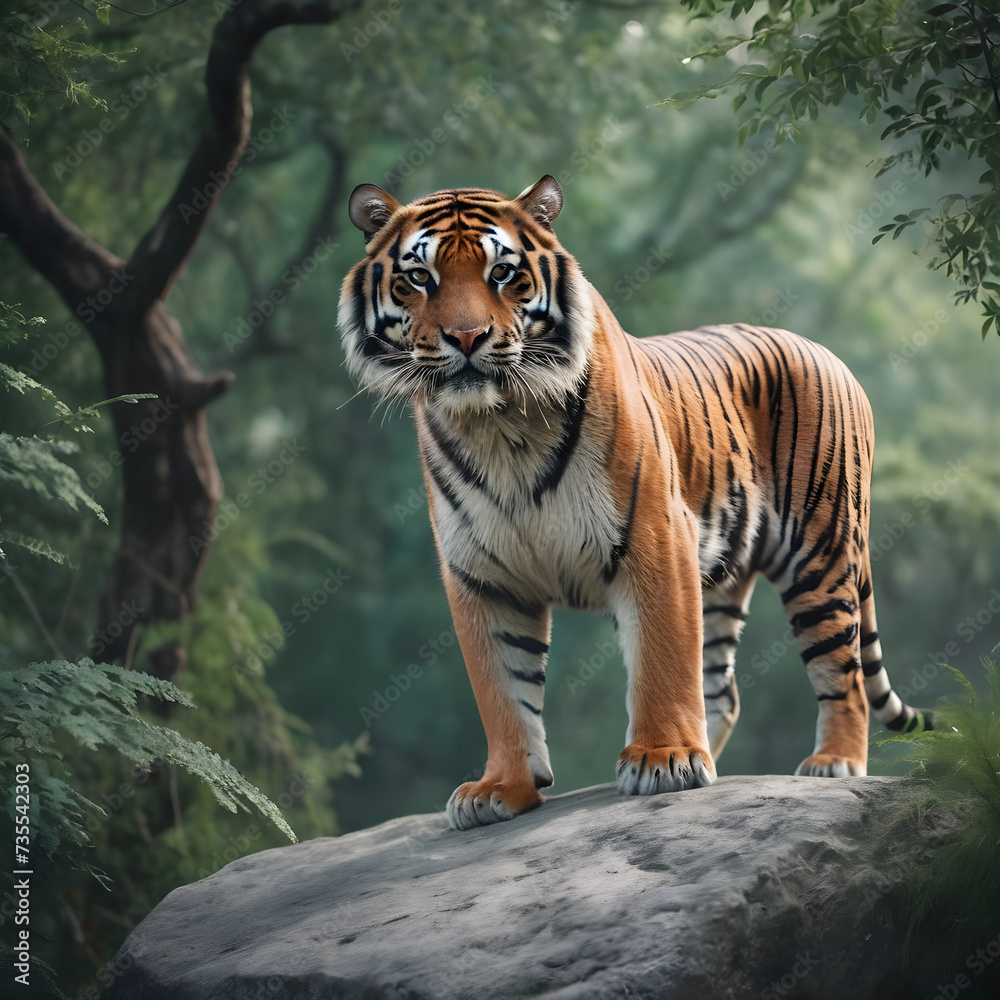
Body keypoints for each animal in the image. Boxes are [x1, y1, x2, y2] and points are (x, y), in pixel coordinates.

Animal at [338, 174, 933, 831]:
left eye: (502, 273)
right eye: (420, 277)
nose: (466, 339)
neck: (499, 427)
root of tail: (830, 355)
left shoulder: (654, 535)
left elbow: (660, 656)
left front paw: (663, 760)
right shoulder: (481, 576)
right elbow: (501, 690)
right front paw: (500, 788)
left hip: (819, 554)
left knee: (842, 672)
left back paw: (832, 763)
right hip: (721, 576)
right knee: (721, 688)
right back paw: (714, 754)